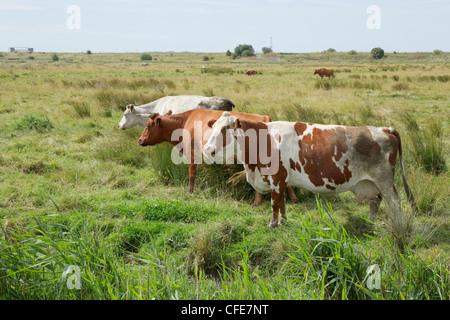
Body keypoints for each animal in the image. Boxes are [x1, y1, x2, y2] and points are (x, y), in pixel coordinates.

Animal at [137, 109, 298, 206]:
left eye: (147, 126)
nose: (139, 140)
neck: (186, 121)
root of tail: (264, 117)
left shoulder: (191, 153)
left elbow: (191, 173)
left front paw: (190, 191)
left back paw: (258, 201)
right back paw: (292, 197)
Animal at [204, 111, 418, 236]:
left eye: (225, 129)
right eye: (213, 127)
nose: (207, 148)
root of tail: (384, 128)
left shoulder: (276, 179)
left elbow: (274, 203)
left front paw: (273, 224)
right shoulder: (282, 180)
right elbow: (282, 203)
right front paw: (284, 222)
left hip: (385, 179)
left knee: (394, 201)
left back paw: (398, 225)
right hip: (372, 183)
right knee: (376, 202)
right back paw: (368, 223)